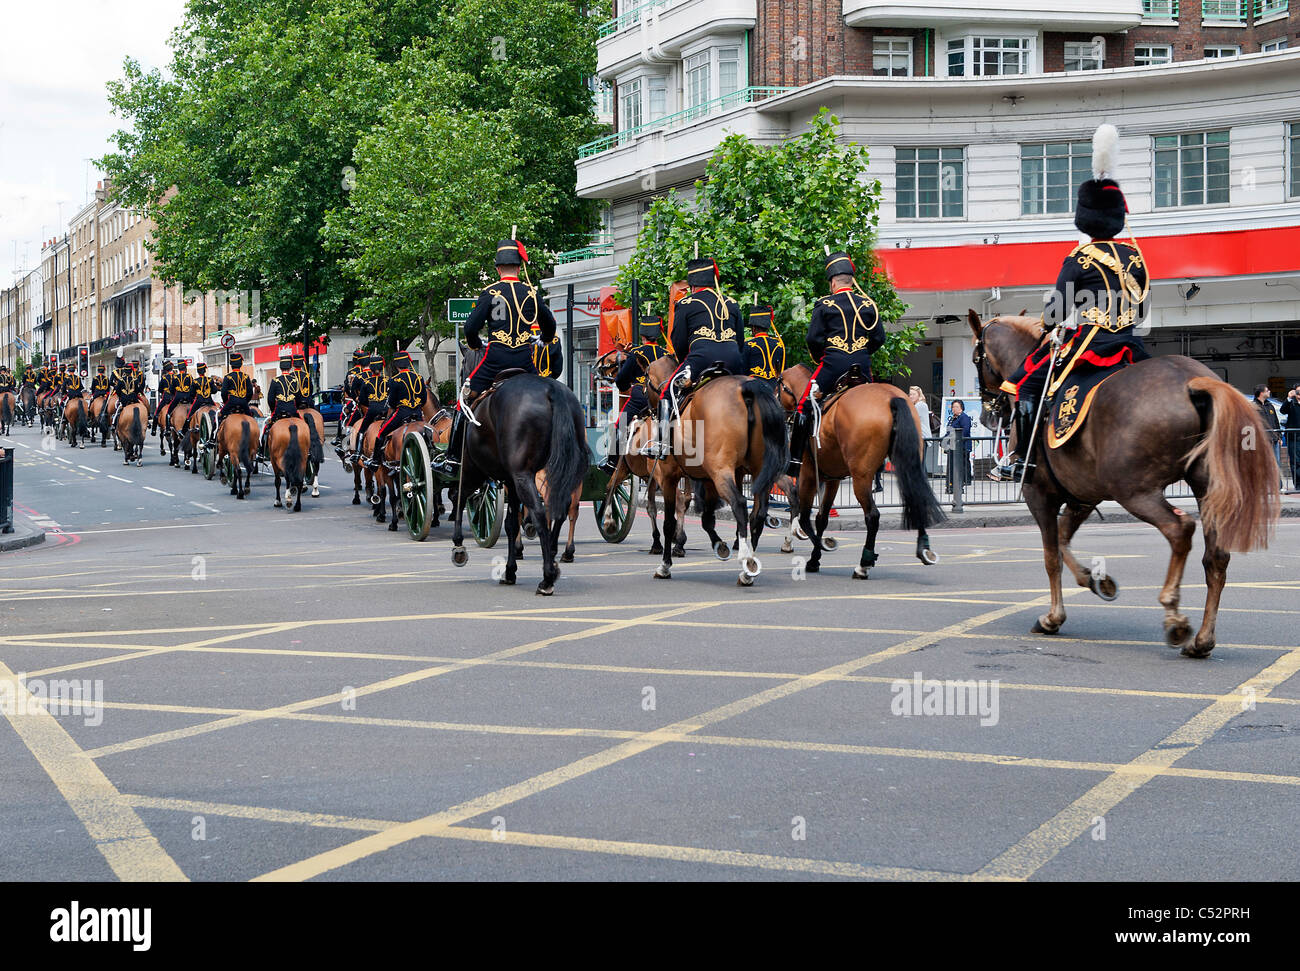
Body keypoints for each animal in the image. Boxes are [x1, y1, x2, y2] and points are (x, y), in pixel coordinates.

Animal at [642, 356, 785, 584]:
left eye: (645, 380)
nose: (647, 410)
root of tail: (747, 388)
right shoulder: (709, 479)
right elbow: (707, 519)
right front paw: (720, 546)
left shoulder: (668, 478)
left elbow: (669, 523)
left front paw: (665, 565)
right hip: (756, 472)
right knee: (758, 514)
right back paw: (749, 565)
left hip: (721, 472)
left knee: (740, 504)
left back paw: (745, 563)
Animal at [769, 363, 946, 577]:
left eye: (778, 388)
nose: (776, 412)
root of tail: (891, 397)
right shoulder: (833, 478)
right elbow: (822, 518)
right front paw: (814, 558)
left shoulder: (808, 475)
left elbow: (805, 517)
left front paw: (820, 547)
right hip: (908, 464)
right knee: (916, 499)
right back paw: (924, 550)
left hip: (861, 476)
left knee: (872, 515)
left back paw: (864, 563)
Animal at [967, 313, 1279, 660]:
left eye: (976, 357)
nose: (987, 415)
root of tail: (1192, 381)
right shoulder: (1083, 496)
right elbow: (1062, 540)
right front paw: (1094, 580)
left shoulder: (1040, 495)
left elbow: (1051, 557)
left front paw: (1052, 617)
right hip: (1205, 488)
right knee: (1216, 557)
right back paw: (1201, 640)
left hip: (1134, 491)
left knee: (1179, 528)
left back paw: (1174, 616)